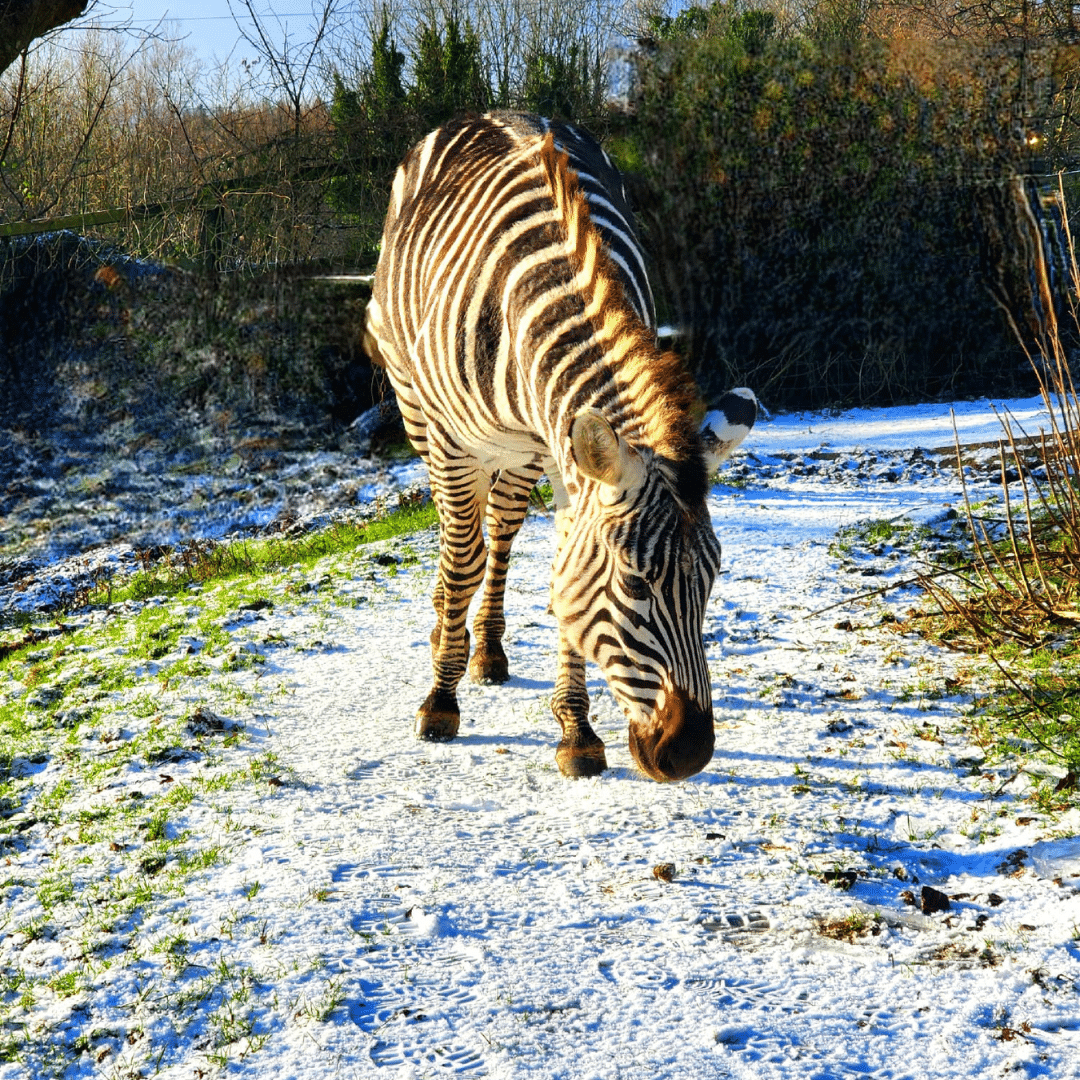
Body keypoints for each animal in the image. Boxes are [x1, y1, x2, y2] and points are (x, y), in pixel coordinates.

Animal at [362, 113, 751, 781]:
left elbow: (561, 576)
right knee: (455, 535)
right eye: (637, 585)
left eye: (711, 581)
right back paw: (446, 630)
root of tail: (482, 114)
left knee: (500, 529)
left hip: (519, 456)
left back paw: (487, 649)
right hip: (421, 415)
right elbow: (462, 562)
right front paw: (440, 701)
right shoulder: (453, 442)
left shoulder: (564, 455)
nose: (689, 755)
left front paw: (576, 731)